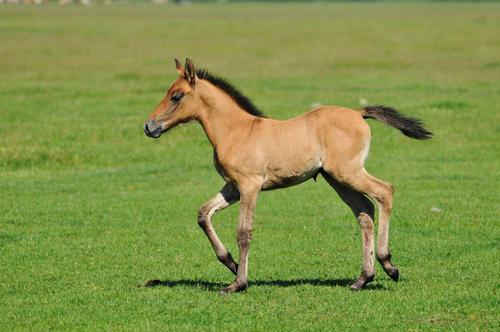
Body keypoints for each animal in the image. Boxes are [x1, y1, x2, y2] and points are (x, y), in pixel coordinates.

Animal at [143, 58, 432, 294]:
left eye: (176, 96)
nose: (149, 126)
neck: (237, 131)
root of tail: (358, 113)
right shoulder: (232, 187)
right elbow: (203, 214)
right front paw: (231, 263)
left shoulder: (249, 186)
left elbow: (244, 232)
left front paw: (238, 283)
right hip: (337, 179)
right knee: (364, 212)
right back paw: (363, 278)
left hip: (348, 173)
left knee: (385, 192)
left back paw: (389, 265)